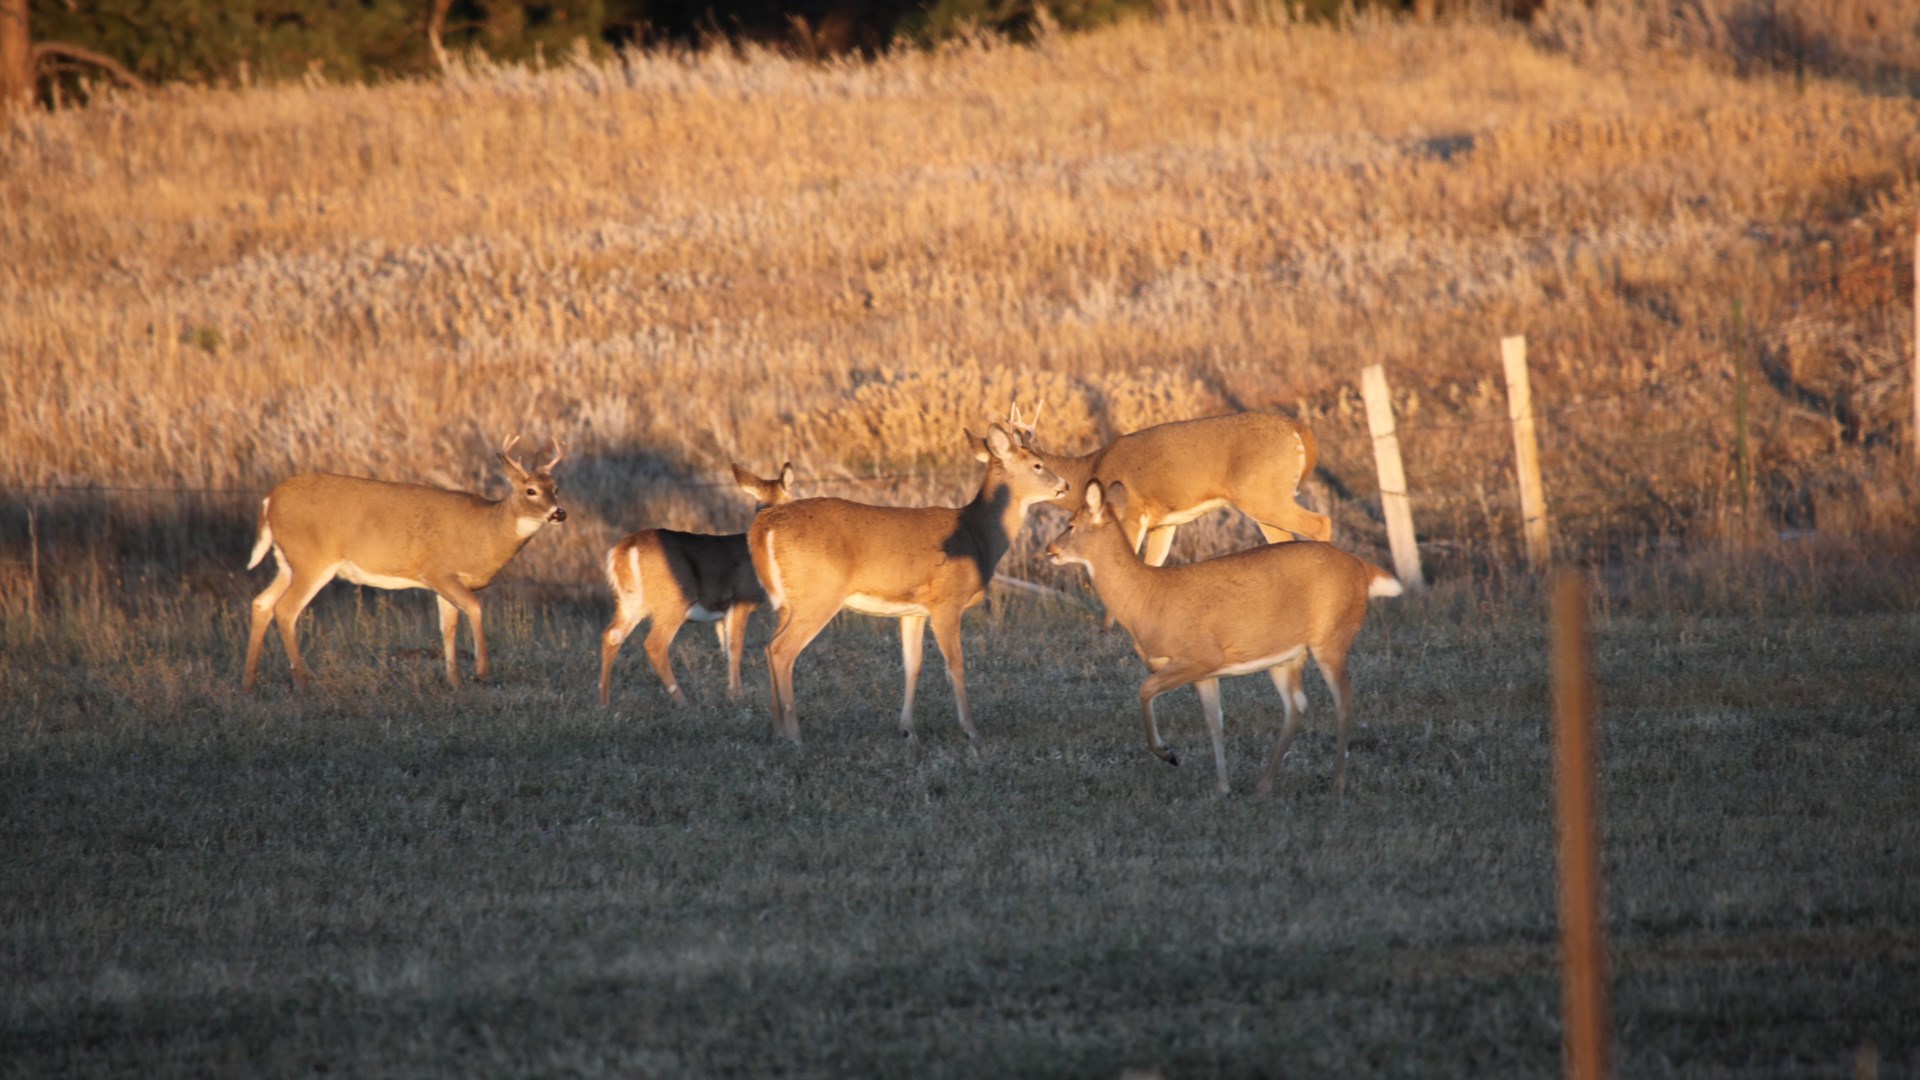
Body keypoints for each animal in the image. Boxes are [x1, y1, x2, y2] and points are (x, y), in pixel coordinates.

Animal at [241, 435, 567, 692]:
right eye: (530, 490)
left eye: (555, 488)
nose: (559, 513)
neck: (484, 534)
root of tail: (269, 499)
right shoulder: (438, 570)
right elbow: (474, 608)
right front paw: (480, 673)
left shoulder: (443, 583)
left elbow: (447, 627)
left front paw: (454, 682)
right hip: (312, 558)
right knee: (286, 610)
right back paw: (302, 684)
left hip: (287, 562)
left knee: (261, 602)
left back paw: (248, 683)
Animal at [599, 463, 796, 708]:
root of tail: (625, 548)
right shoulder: (741, 598)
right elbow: (735, 648)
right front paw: (737, 696)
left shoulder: (721, 612)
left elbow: (725, 649)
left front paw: (730, 694)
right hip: (674, 599)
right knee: (654, 644)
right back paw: (683, 701)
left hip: (629, 601)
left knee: (611, 635)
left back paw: (603, 703)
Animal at [748, 422, 1068, 744]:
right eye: (1038, 464)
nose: (1065, 485)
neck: (979, 536)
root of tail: (765, 524)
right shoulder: (947, 602)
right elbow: (955, 664)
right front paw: (970, 729)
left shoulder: (912, 611)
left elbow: (912, 665)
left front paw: (907, 729)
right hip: (819, 594)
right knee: (782, 650)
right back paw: (794, 736)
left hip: (790, 601)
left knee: (769, 647)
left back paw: (777, 732)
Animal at [1046, 478, 1402, 797]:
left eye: (1071, 524)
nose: (1049, 549)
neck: (1145, 599)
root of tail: (1362, 569)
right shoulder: (1204, 673)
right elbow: (1214, 721)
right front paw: (1222, 788)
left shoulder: (1200, 656)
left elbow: (1144, 690)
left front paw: (1168, 753)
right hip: (1286, 656)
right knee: (1296, 706)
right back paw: (1263, 786)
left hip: (1331, 637)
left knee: (1344, 698)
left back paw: (1337, 785)